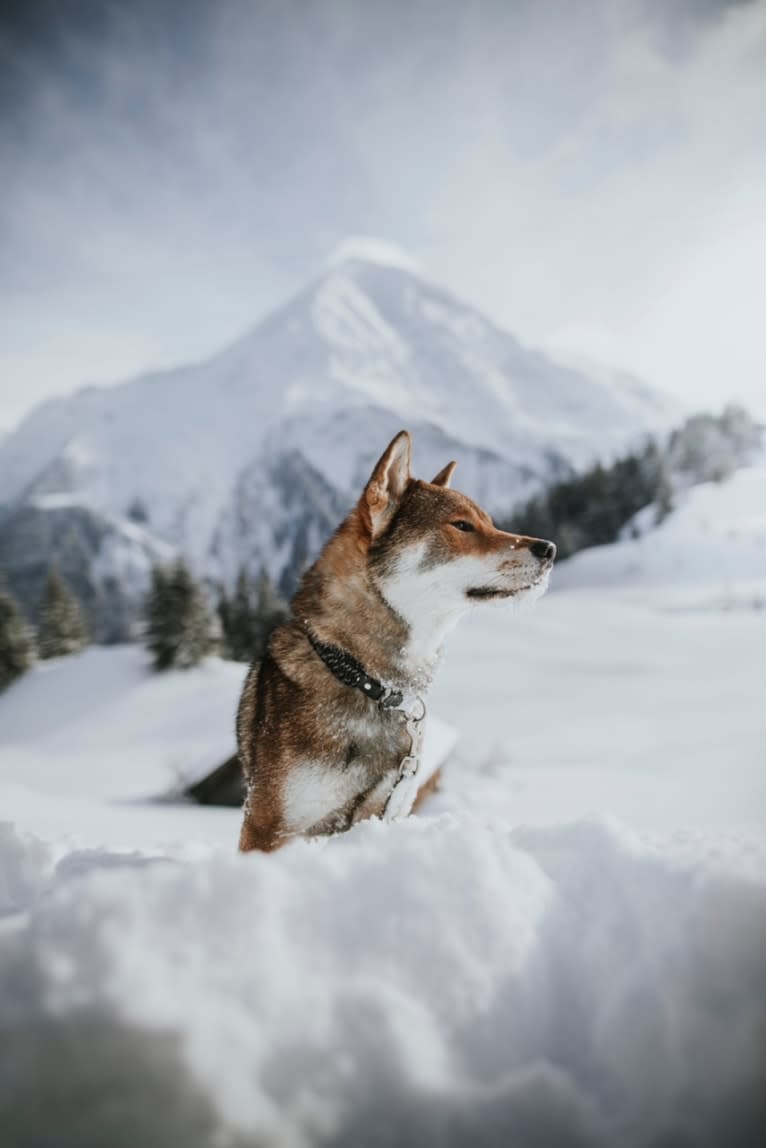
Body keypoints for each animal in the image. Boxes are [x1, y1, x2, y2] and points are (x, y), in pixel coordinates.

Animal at [236, 431, 553, 854]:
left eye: (490, 522)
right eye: (462, 525)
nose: (549, 549)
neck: (366, 681)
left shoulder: (386, 807)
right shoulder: (267, 827)